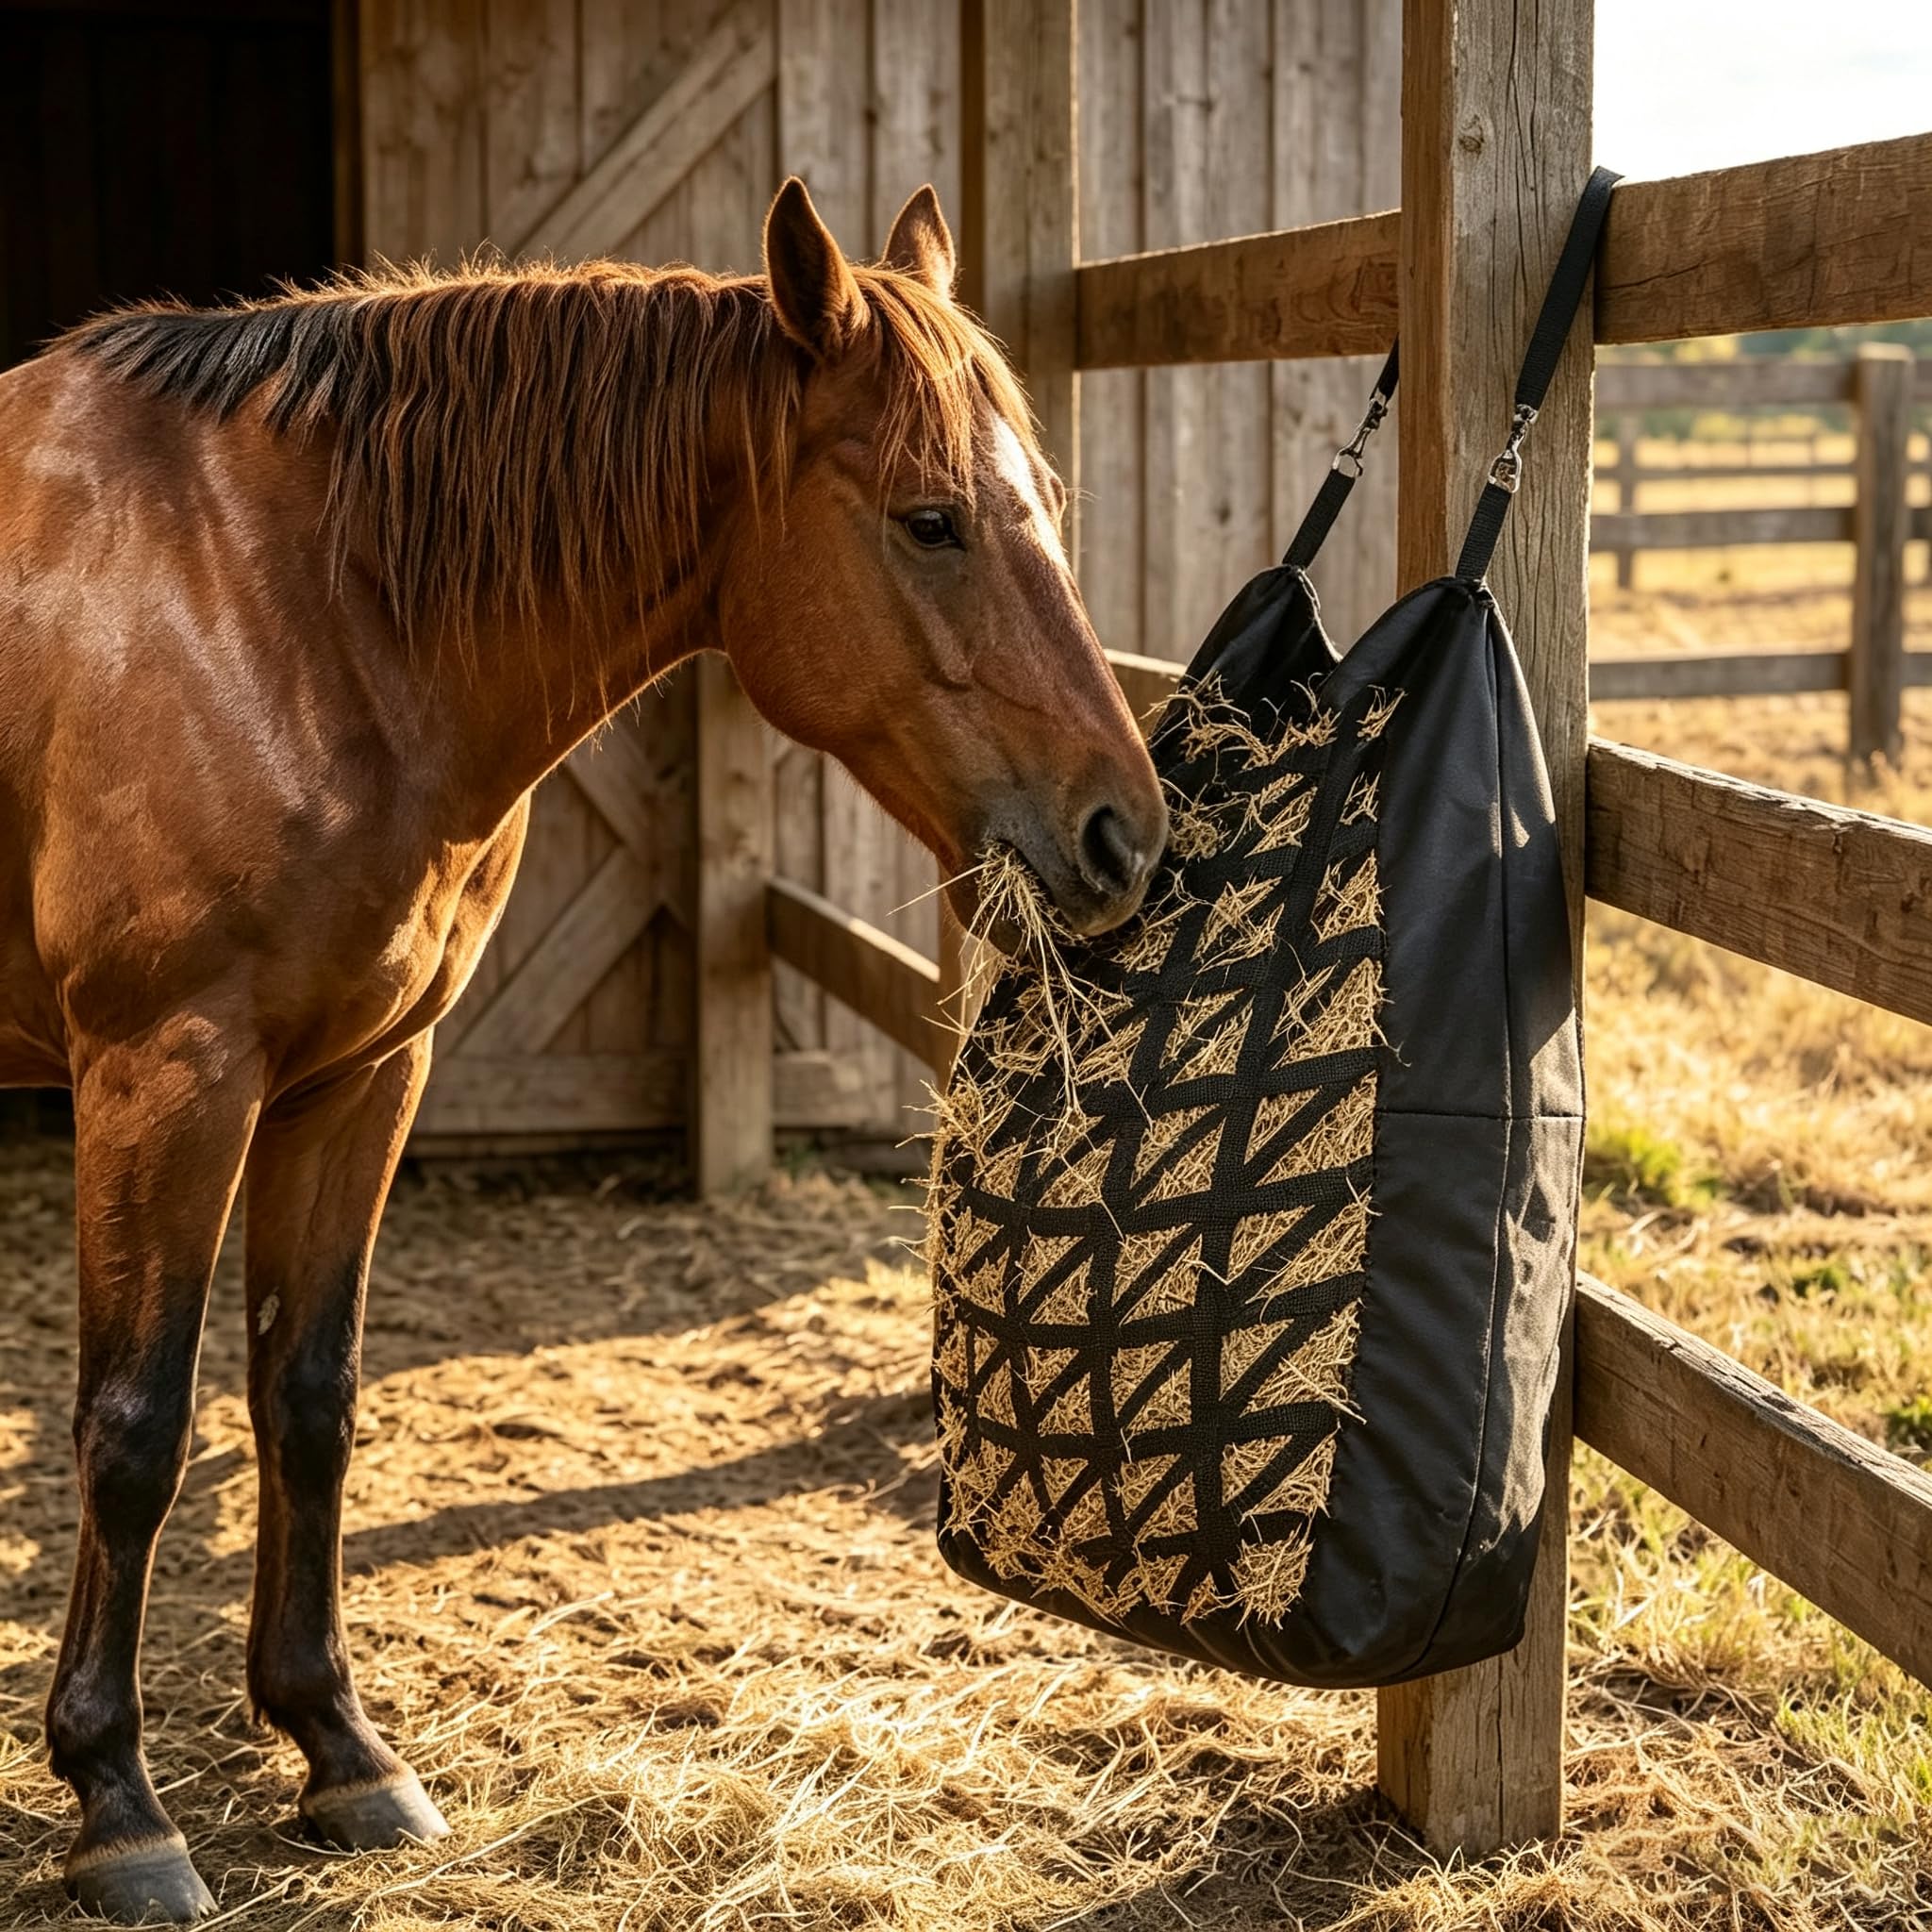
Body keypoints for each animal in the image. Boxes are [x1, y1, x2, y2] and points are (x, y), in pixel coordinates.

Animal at [0, 177, 1166, 1922]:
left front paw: (337, 1746)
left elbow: (308, 1396)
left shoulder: (361, 1074)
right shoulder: (167, 1075)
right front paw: (118, 1804)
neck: (288, 601)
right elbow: (134, 1431)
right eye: (929, 520)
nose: (1122, 835)